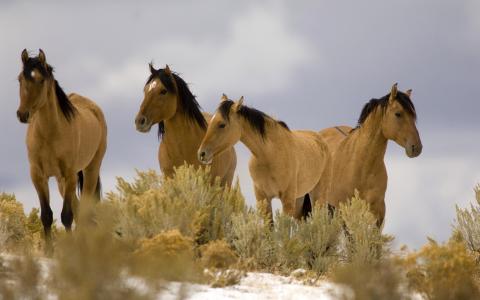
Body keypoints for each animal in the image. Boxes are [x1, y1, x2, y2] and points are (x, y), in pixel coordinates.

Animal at [17, 49, 108, 248]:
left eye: (40, 80)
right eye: (20, 78)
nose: (22, 114)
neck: (50, 134)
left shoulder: (69, 174)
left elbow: (67, 216)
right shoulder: (38, 176)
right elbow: (46, 215)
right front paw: (49, 251)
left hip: (90, 171)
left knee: (84, 212)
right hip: (61, 181)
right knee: (79, 210)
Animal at [198, 95, 330, 220]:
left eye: (222, 124)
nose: (201, 153)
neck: (270, 155)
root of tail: (320, 139)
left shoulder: (287, 199)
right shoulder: (263, 198)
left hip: (317, 196)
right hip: (300, 198)